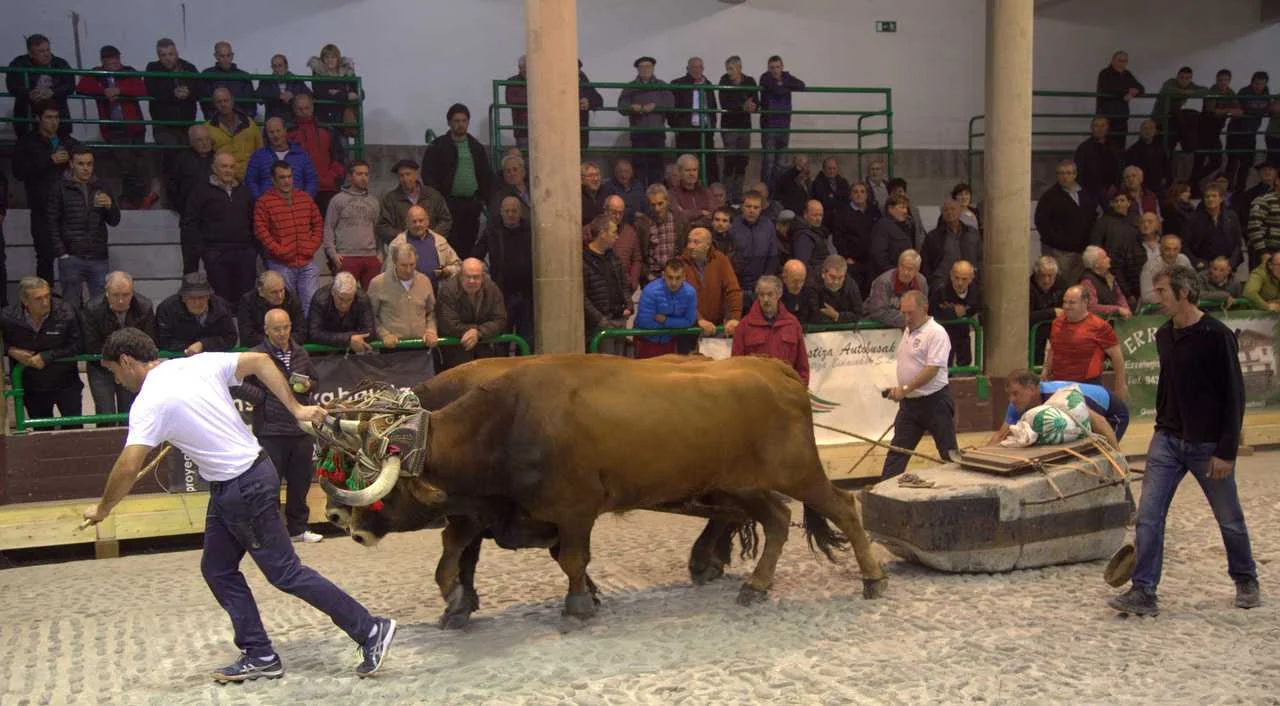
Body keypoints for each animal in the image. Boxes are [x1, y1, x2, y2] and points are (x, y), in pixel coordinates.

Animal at [318, 354, 887, 620]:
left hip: (799, 472)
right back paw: (752, 584)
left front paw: (578, 604)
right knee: (774, 518)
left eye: (374, 476)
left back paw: (873, 579)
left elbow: (570, 558)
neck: (509, 420)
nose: (345, 523)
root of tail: (771, 368)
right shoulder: (486, 513)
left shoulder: (574, 509)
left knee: (844, 505)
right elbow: (452, 559)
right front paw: (459, 600)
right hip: (740, 483)